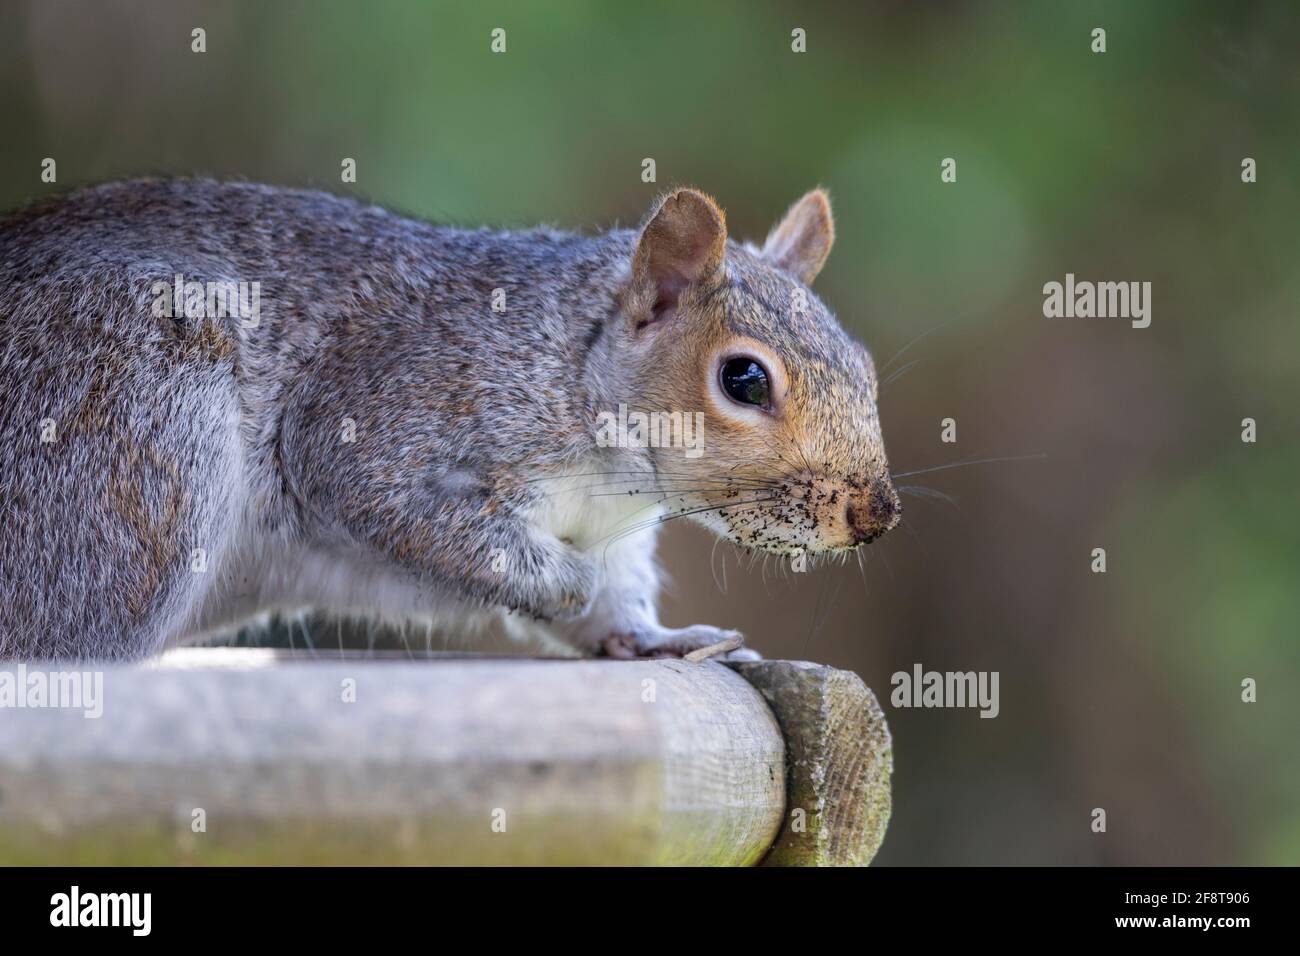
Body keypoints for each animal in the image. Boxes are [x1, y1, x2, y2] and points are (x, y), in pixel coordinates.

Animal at [0, 179, 900, 661]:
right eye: (743, 379)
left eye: (864, 364)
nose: (874, 514)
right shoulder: (394, 413)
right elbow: (379, 494)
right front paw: (560, 583)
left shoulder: (615, 535)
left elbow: (615, 602)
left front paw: (653, 639)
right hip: (128, 438)